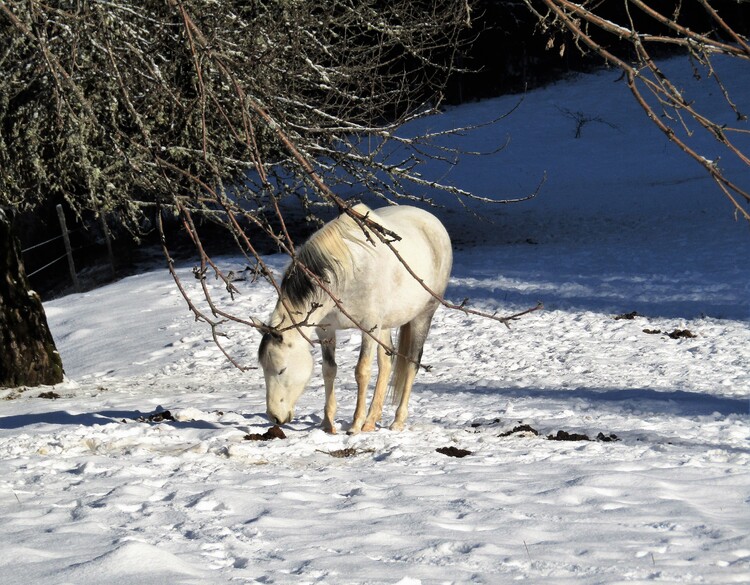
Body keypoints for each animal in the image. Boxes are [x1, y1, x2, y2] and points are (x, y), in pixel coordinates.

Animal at [258, 203, 452, 432]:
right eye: (264, 369)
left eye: (281, 370)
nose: (275, 417)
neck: (347, 274)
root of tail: (432, 221)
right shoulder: (326, 330)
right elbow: (329, 370)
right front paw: (328, 424)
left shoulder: (369, 326)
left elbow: (362, 371)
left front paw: (355, 424)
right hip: (384, 326)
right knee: (386, 362)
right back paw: (371, 420)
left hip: (422, 317)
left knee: (412, 363)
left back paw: (396, 421)